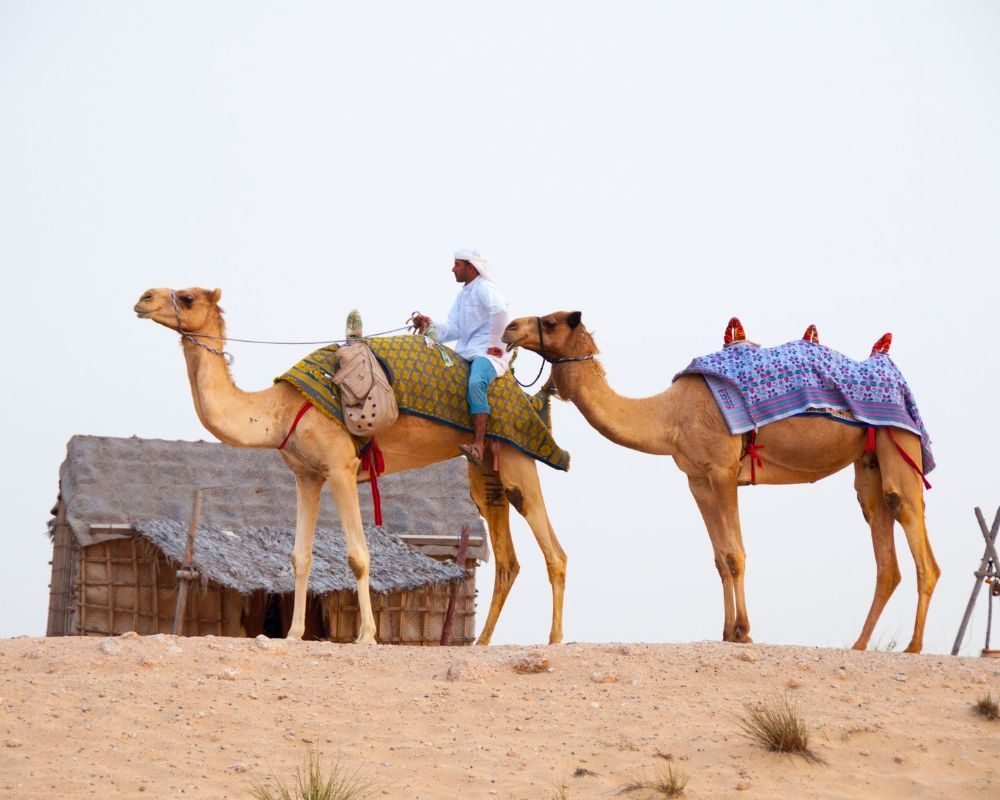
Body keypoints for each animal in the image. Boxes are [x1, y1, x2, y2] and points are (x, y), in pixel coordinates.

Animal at [136, 288, 568, 644]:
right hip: (486, 472)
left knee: (554, 552)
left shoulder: (341, 467)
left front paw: (367, 636)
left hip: (517, 459)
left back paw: (554, 639)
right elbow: (300, 557)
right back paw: (483, 643)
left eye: (188, 297)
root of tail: (525, 396)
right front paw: (294, 634)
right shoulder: (307, 475)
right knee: (508, 560)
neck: (280, 409)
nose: (143, 298)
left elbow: (358, 556)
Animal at [504, 310, 940, 652]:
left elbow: (735, 553)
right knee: (885, 551)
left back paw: (913, 646)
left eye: (551, 320)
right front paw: (728, 631)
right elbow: (719, 558)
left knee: (915, 532)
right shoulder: (697, 478)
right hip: (868, 464)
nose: (509, 327)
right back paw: (861, 644)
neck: (669, 415)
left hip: (899, 443)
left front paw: (743, 631)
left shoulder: (723, 470)